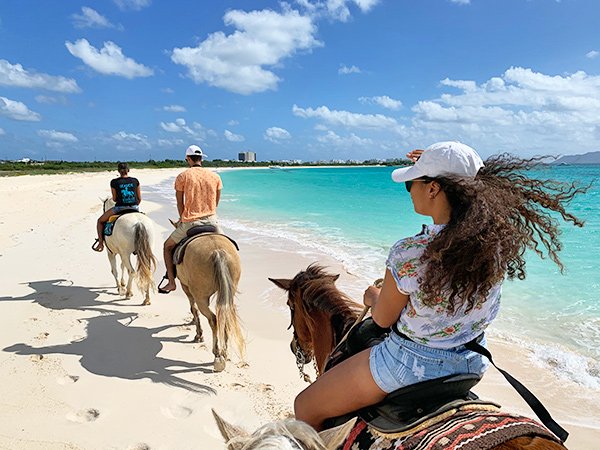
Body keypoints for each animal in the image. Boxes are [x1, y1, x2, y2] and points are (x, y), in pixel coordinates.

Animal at [172, 227, 247, 370]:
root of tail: (217, 251)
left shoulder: (186, 288)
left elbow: (193, 309)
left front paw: (198, 334)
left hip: (200, 296)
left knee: (213, 319)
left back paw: (217, 354)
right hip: (229, 292)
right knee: (225, 316)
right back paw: (224, 352)